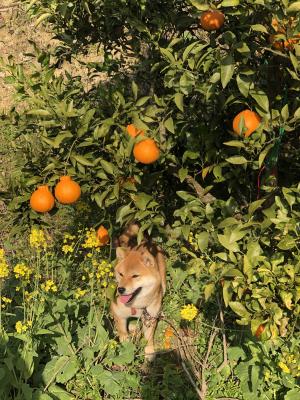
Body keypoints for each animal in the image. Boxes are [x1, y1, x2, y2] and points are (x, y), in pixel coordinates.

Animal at [110, 225, 166, 360]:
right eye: (121, 274)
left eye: (135, 276)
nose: (120, 289)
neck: (137, 306)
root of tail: (146, 241)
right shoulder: (118, 313)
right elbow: (122, 331)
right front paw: (125, 346)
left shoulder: (150, 318)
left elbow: (149, 338)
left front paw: (149, 351)